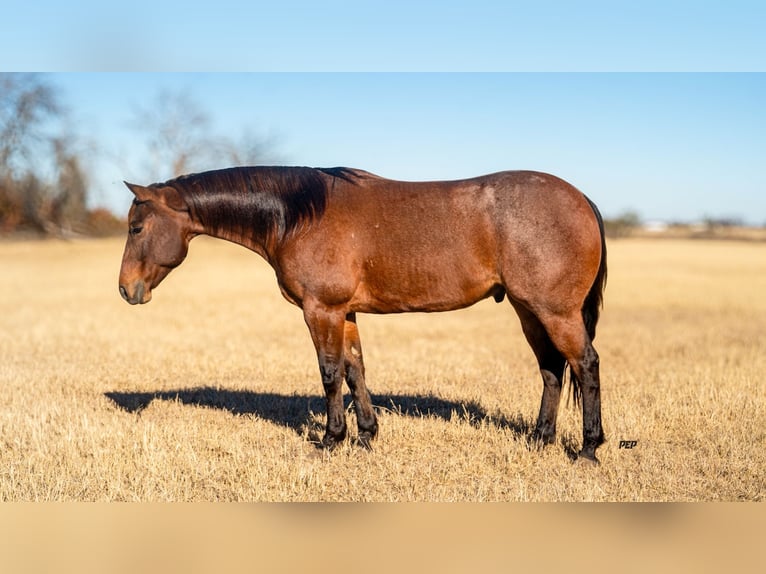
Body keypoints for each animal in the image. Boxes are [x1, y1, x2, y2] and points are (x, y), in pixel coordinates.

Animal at [119, 166, 607, 463]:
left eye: (136, 228)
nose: (126, 289)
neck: (297, 216)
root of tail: (581, 197)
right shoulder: (346, 313)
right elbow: (356, 370)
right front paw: (368, 434)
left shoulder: (322, 311)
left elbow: (330, 373)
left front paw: (330, 439)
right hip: (530, 310)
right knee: (551, 370)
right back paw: (540, 440)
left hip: (556, 312)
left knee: (585, 365)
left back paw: (588, 448)